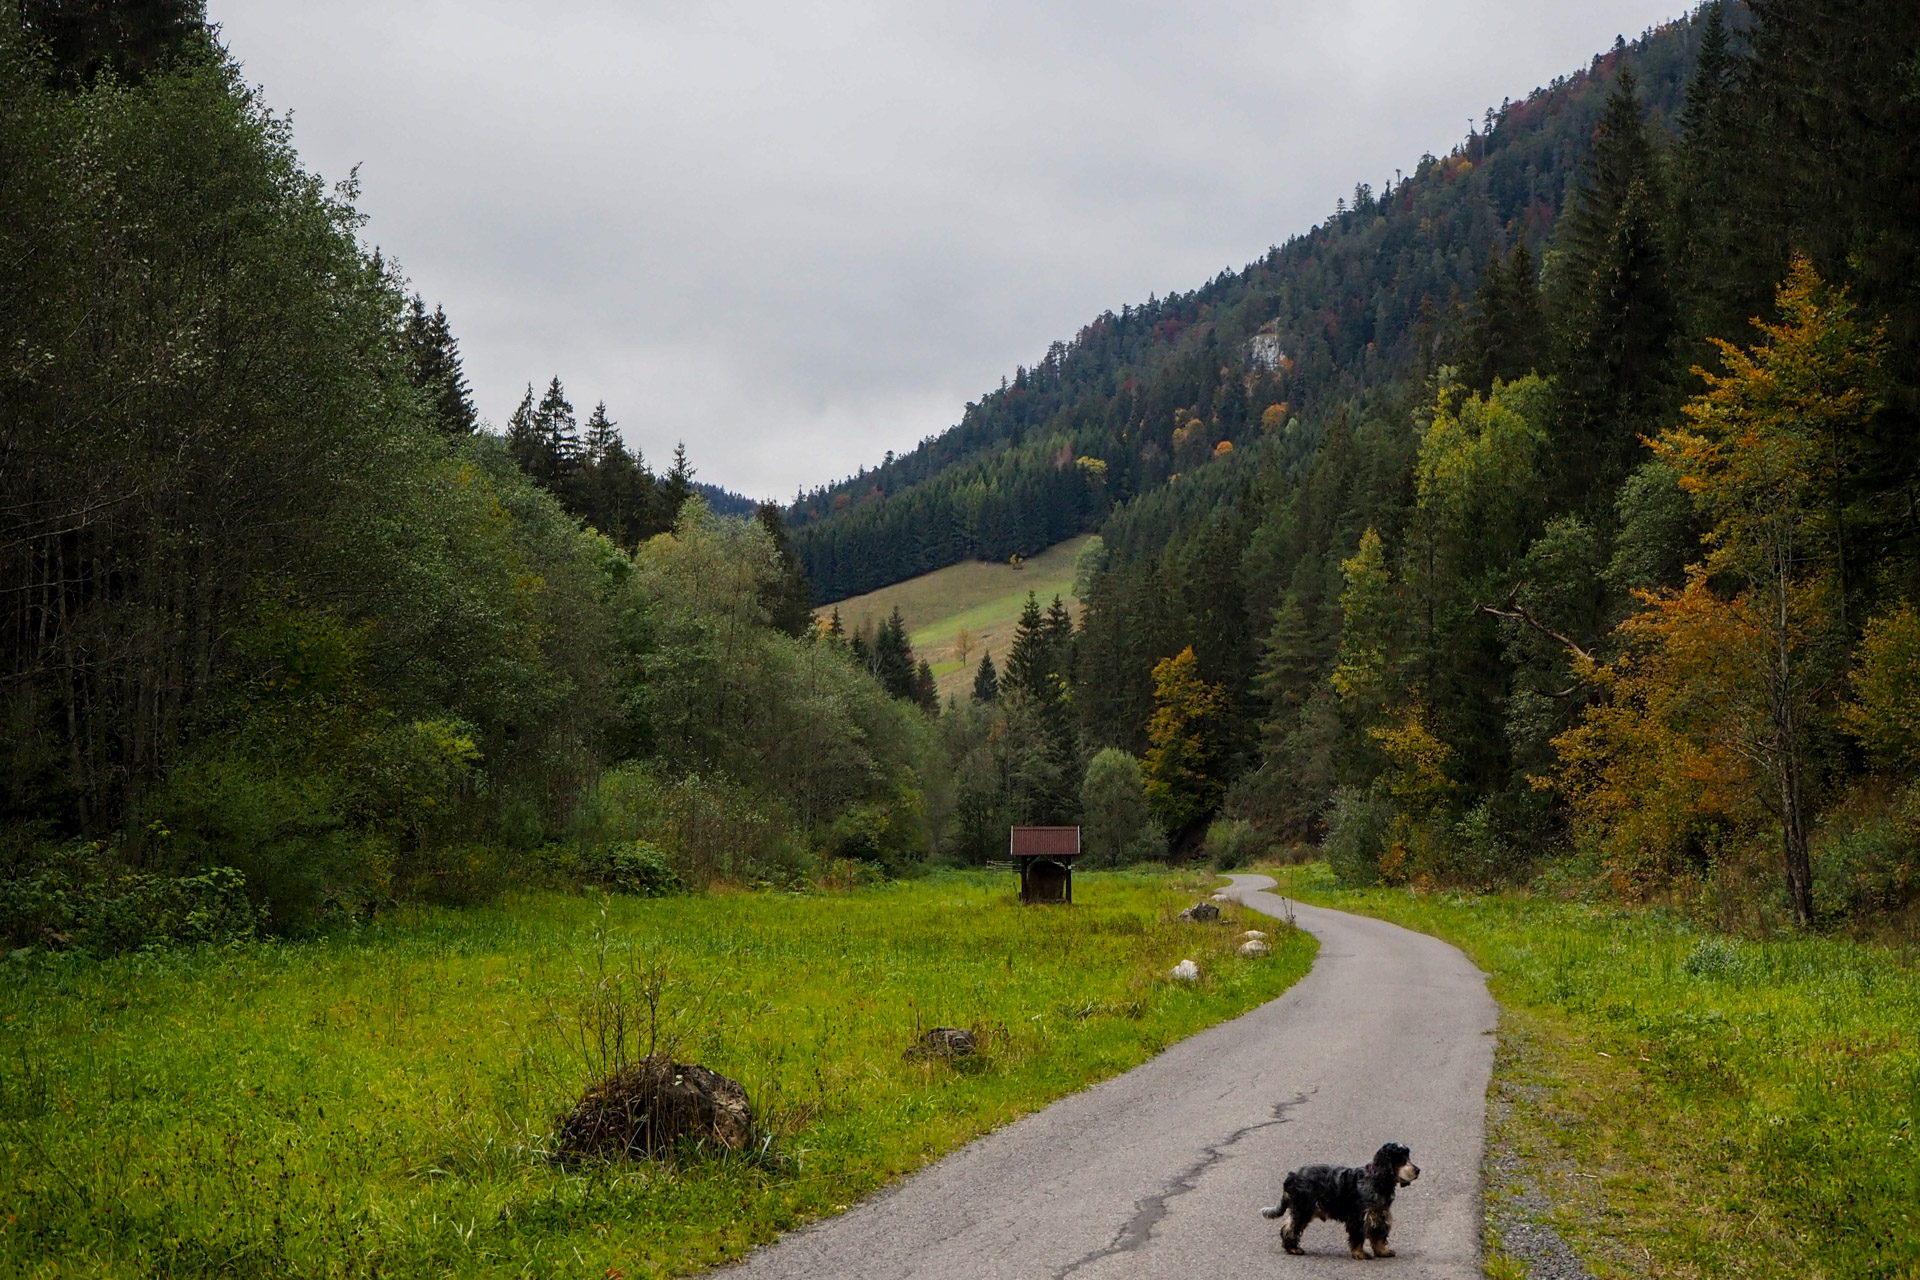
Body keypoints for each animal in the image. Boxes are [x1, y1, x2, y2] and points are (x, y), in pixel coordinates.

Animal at [1267, 1143, 1420, 1258]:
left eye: (1408, 1156)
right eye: (1401, 1159)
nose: (1418, 1170)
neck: (1377, 1180)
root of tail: (1292, 1176)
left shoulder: (1380, 1213)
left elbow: (1379, 1235)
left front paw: (1383, 1251)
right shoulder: (1358, 1216)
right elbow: (1358, 1236)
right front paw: (1360, 1254)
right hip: (1303, 1208)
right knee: (1290, 1228)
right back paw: (1294, 1249)